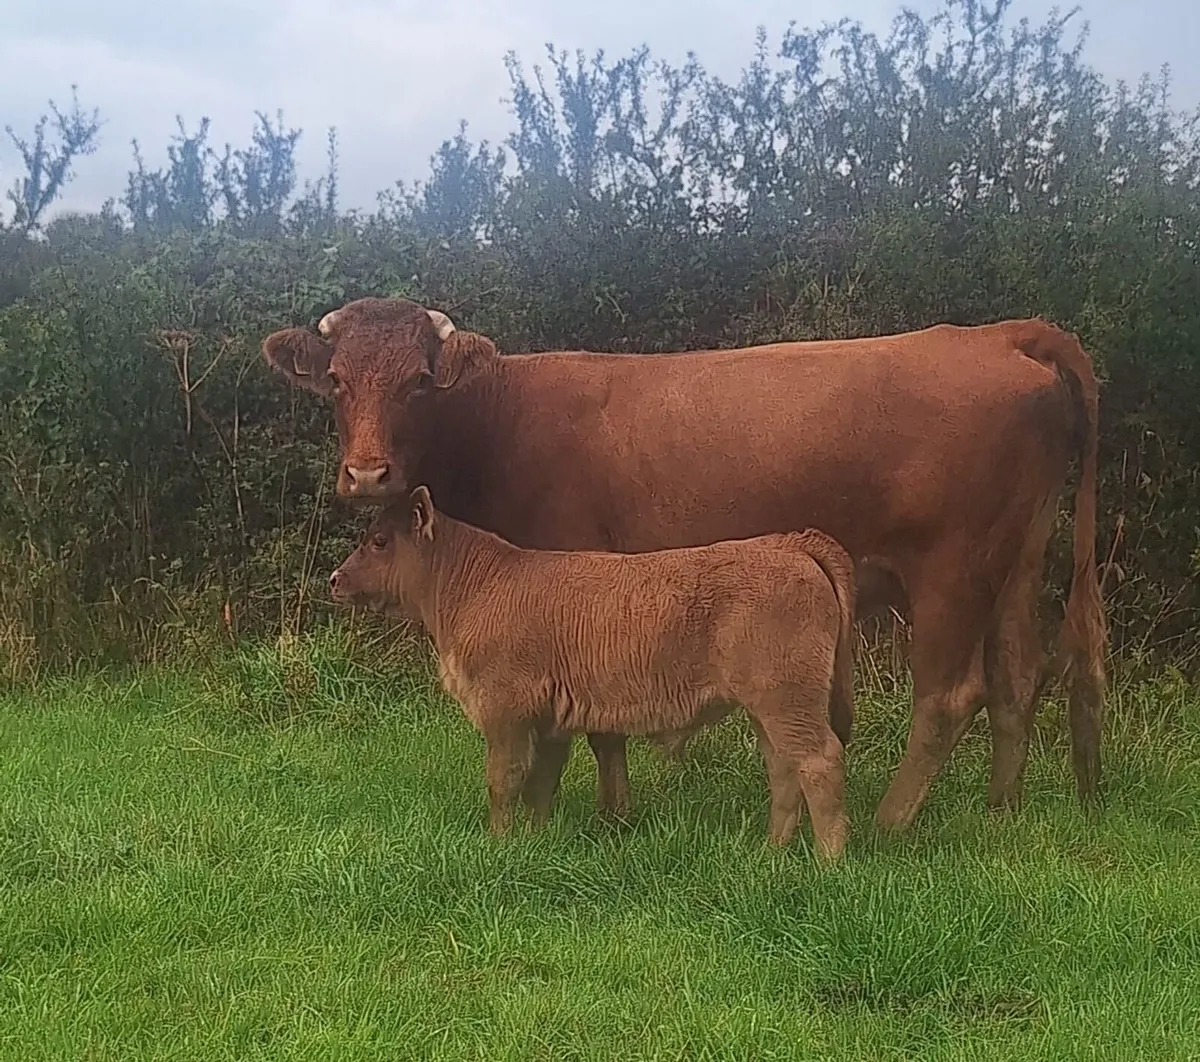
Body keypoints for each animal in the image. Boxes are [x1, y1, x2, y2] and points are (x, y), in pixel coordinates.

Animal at [328, 486, 857, 860]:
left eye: (379, 541)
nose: (335, 579)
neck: (478, 587)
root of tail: (787, 544)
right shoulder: (550, 720)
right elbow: (541, 783)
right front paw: (533, 841)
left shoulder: (505, 711)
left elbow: (504, 780)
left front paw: (498, 844)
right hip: (770, 707)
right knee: (783, 768)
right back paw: (771, 852)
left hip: (787, 699)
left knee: (819, 761)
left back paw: (828, 862)